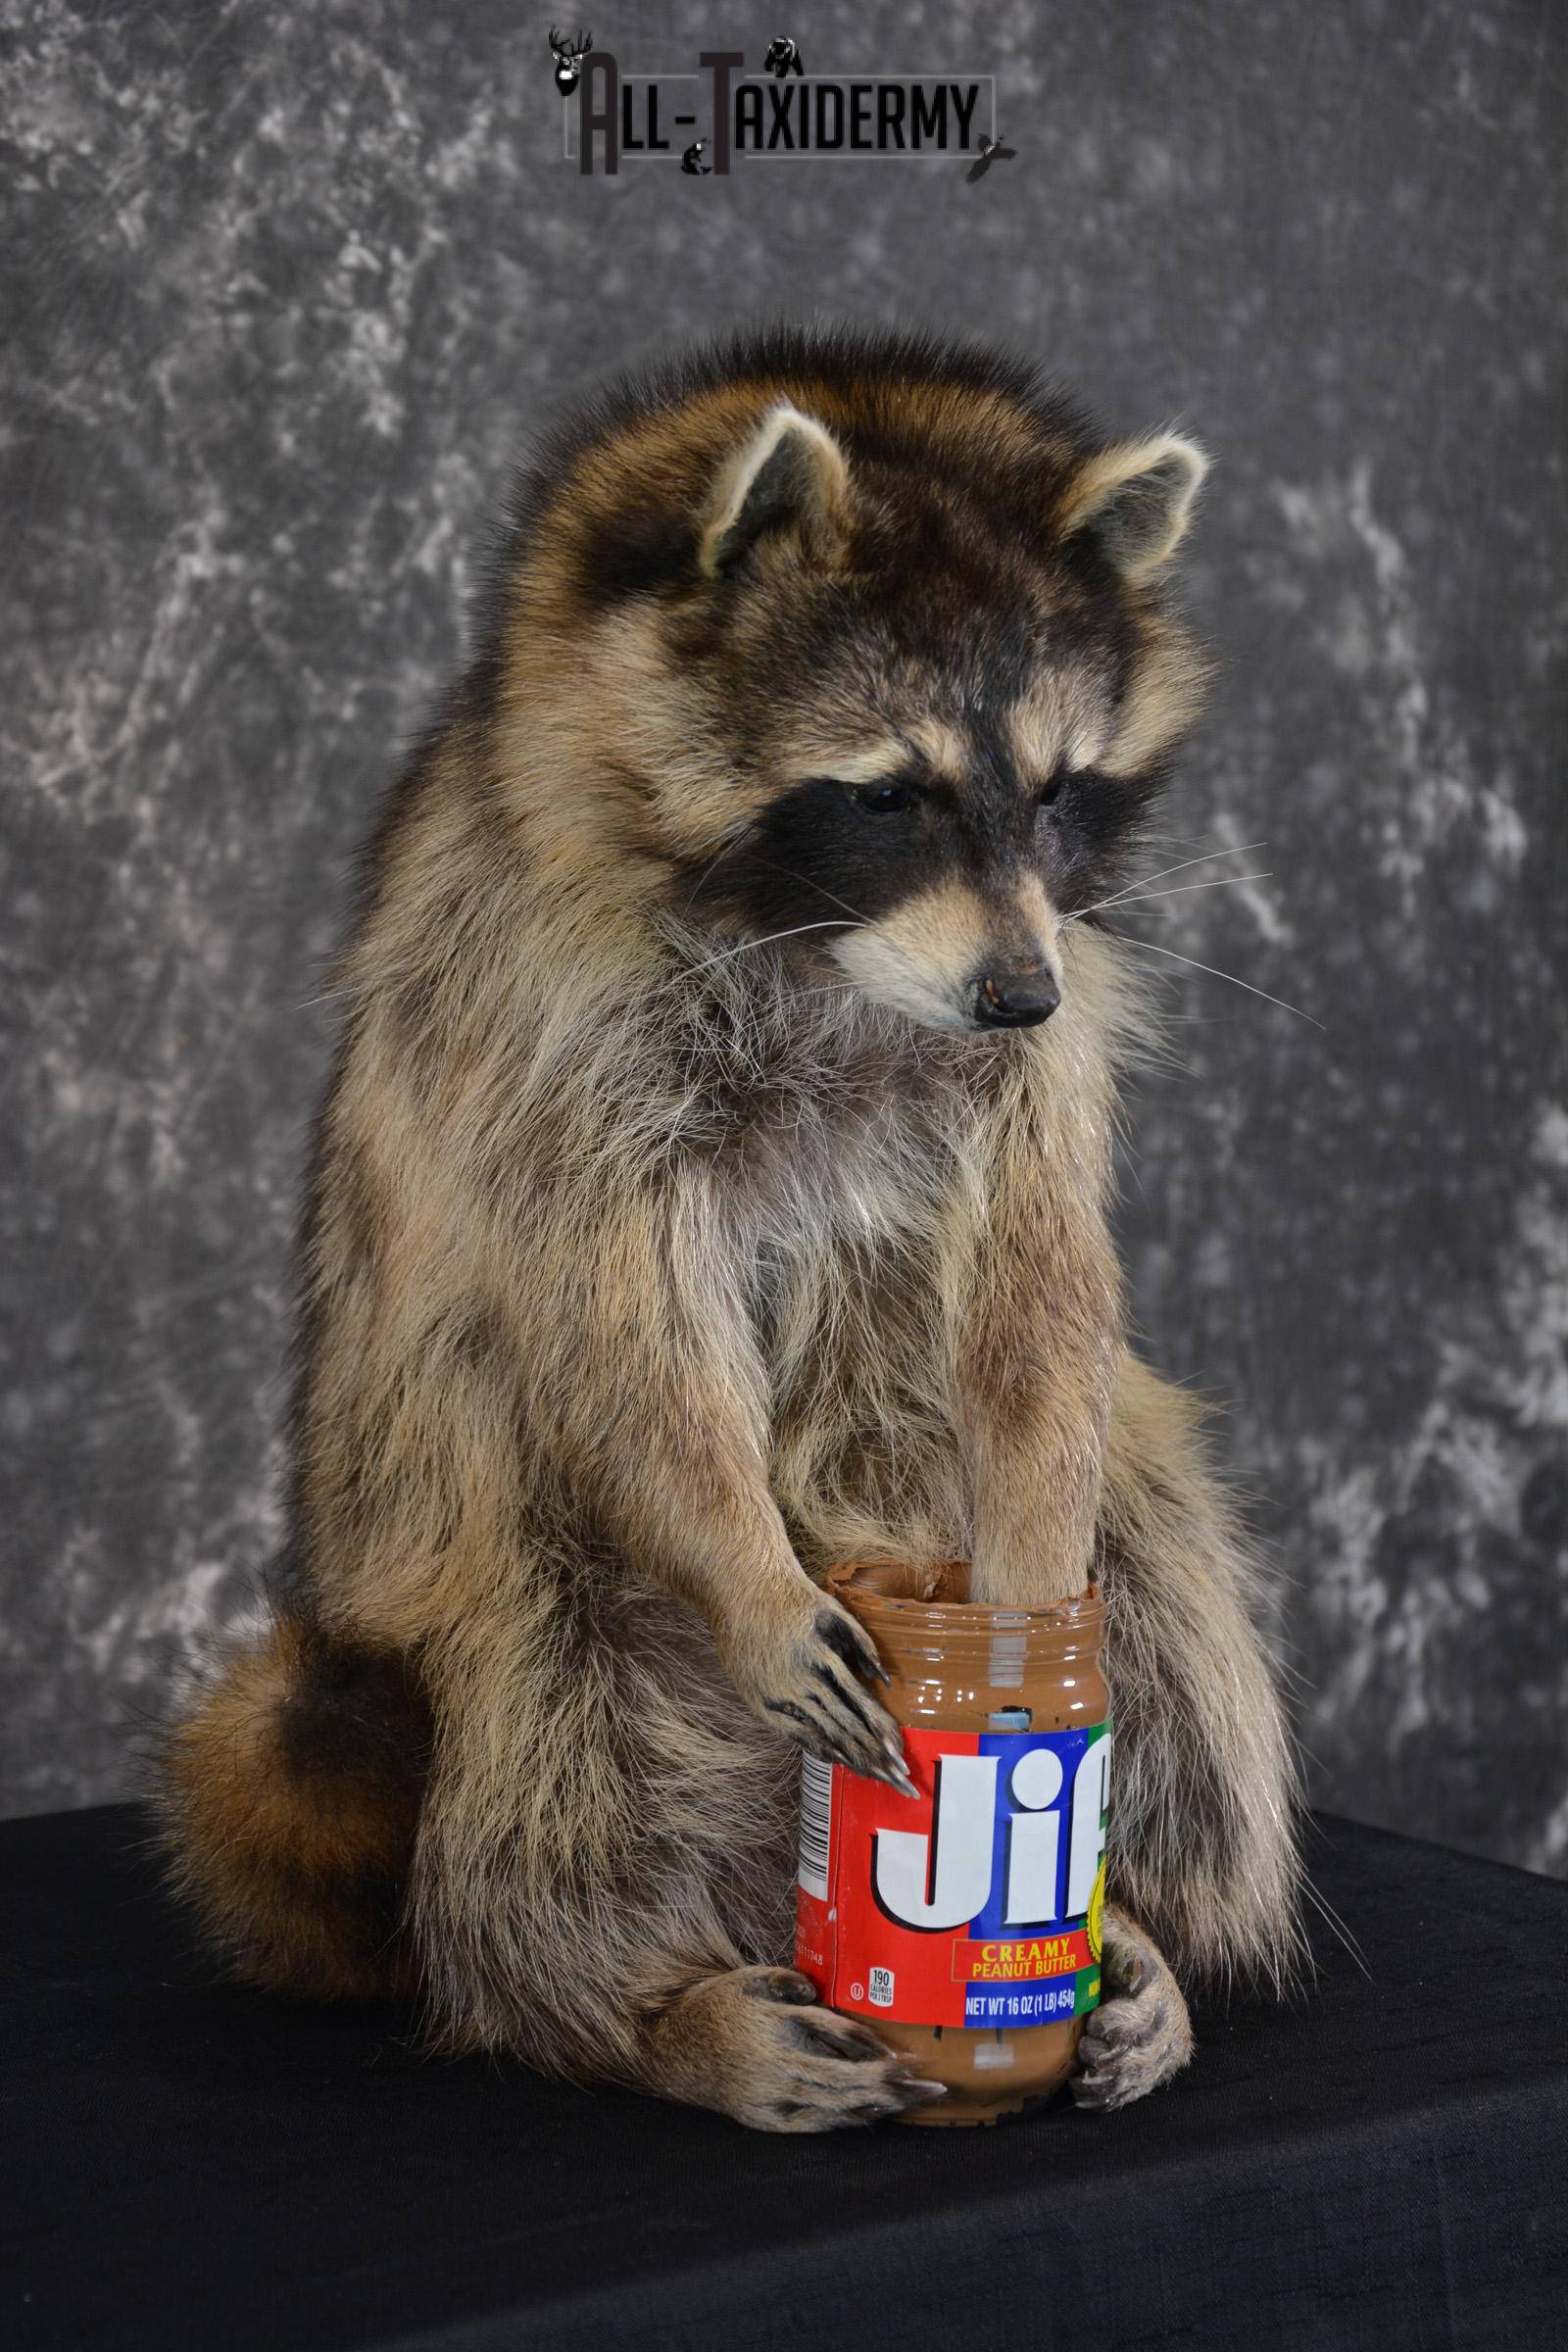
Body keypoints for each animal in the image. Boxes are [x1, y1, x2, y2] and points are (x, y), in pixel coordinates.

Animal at [157, 326, 1301, 2130]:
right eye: (890, 796)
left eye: (1061, 793)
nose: (1015, 991)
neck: (830, 954)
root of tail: (766, 1881)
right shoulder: (534, 1012)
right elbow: (609, 1313)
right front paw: (743, 1559)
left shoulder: (1045, 1027)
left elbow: (1042, 1287)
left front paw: (1026, 1613)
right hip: (492, 1573)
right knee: (551, 1748)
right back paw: (633, 2012)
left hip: (1137, 1516)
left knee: (1179, 1617)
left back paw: (1150, 1937)